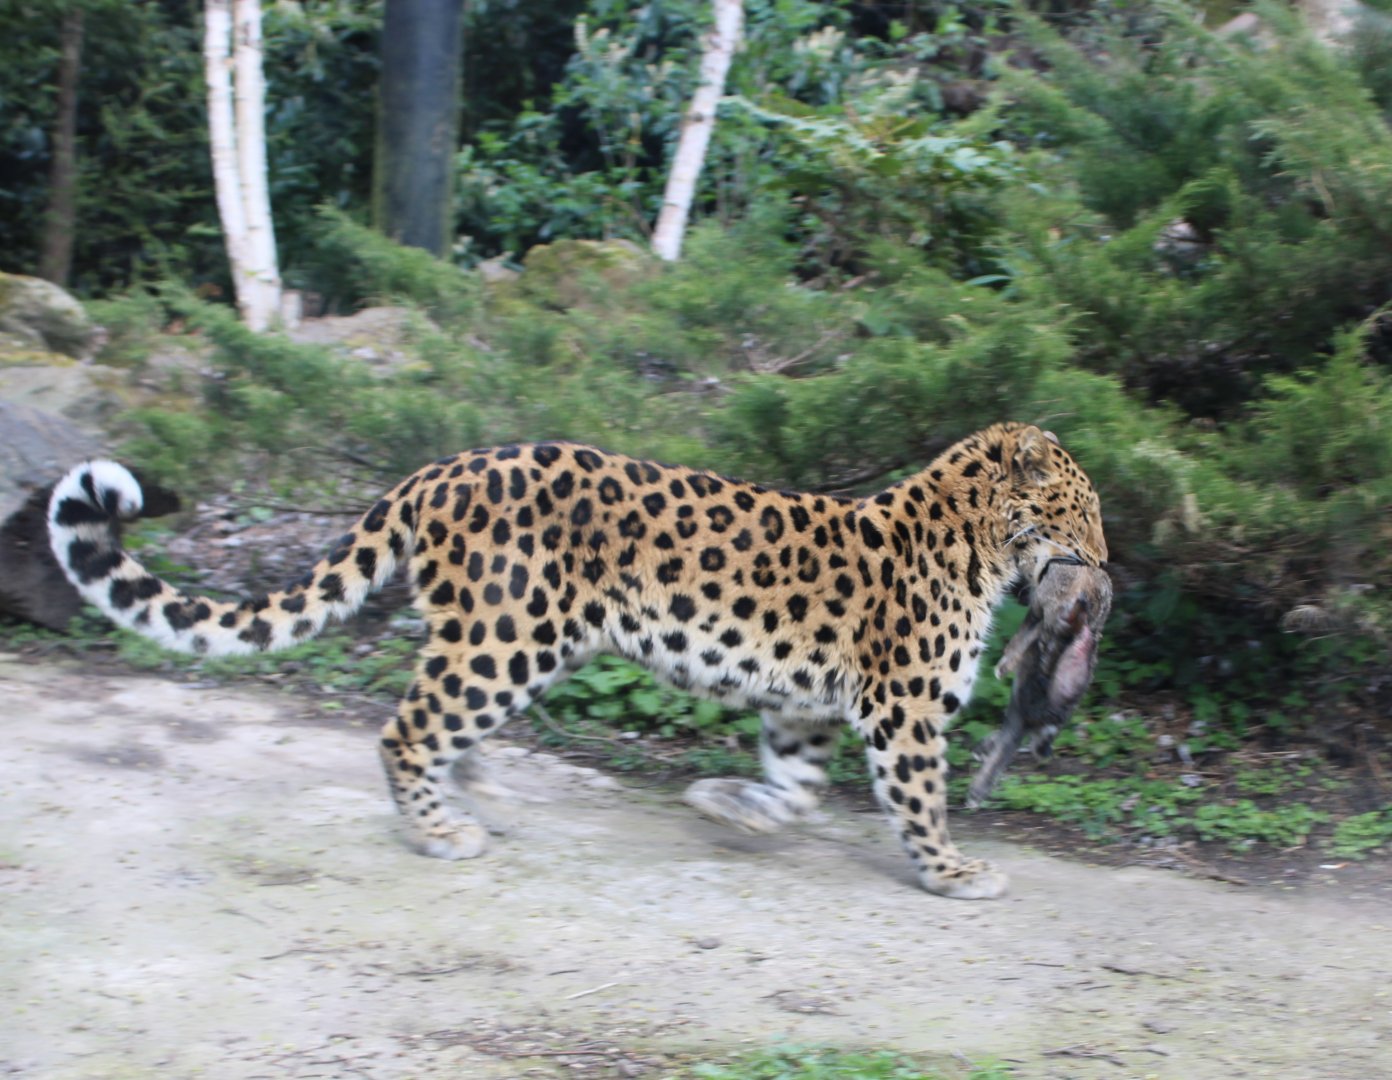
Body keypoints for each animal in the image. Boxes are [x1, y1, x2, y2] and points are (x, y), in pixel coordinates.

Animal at [47, 422, 1106, 900]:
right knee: (407, 728)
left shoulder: (805, 704)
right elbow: (918, 797)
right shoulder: (903, 707)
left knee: (439, 721)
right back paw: (442, 829)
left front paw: (731, 808)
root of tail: (438, 470)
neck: (978, 545)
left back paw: (476, 794)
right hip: (509, 638)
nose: (1104, 568)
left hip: (505, 640)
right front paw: (955, 870)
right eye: (1082, 510)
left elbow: (797, 786)